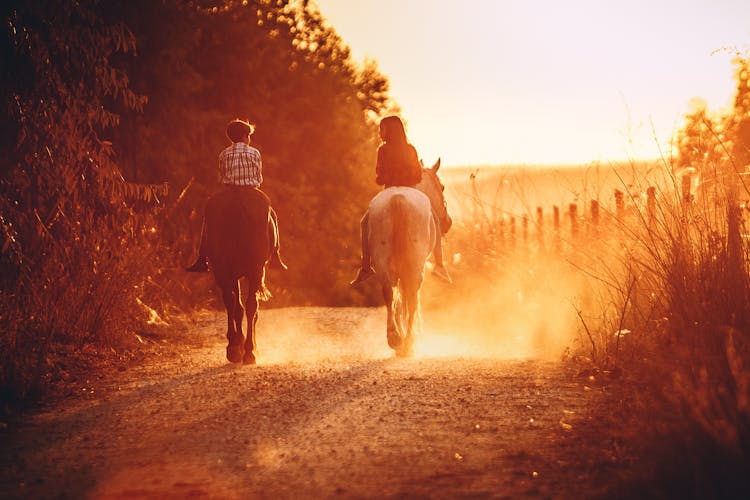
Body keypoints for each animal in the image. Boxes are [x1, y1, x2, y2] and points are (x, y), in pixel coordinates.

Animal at [204, 187, 274, 364]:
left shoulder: (234, 275)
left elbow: (237, 308)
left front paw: (239, 344)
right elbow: (248, 309)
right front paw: (250, 346)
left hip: (223, 270)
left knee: (231, 303)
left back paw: (234, 349)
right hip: (254, 271)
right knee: (250, 307)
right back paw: (248, 352)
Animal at [366, 158, 450, 358]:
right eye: (442, 187)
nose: (448, 222)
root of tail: (397, 200)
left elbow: (398, 300)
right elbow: (410, 300)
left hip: (383, 263)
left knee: (389, 294)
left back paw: (395, 338)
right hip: (415, 266)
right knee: (411, 296)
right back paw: (409, 341)